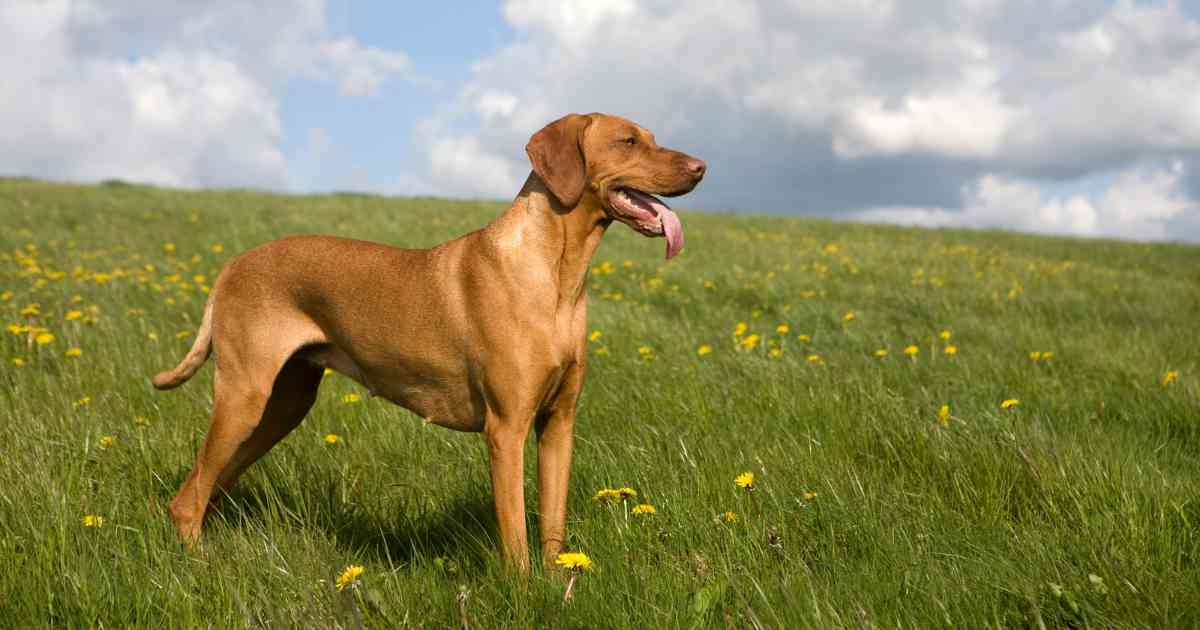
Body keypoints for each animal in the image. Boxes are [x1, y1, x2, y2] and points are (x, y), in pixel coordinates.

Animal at [154, 112, 705, 568]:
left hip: (282, 406)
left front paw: (559, 586)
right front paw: (525, 591)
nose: (702, 167)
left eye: (652, 136)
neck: (556, 275)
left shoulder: (558, 424)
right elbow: (515, 537)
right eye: (628, 141)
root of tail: (233, 264)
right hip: (245, 397)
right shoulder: (506, 429)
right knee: (187, 499)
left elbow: (552, 525)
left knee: (208, 486)